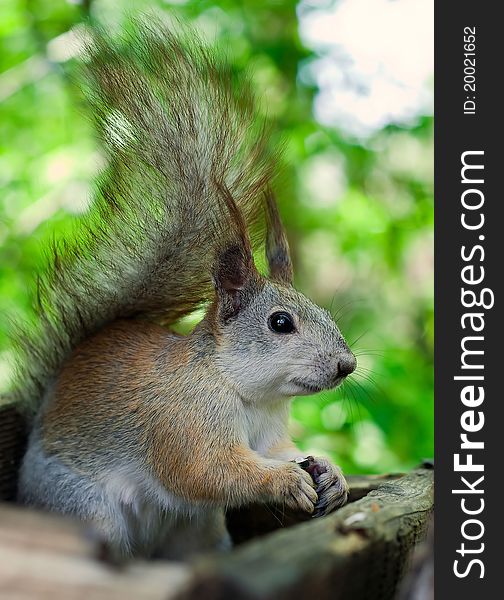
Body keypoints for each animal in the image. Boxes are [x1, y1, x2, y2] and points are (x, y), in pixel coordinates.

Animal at [12, 18, 358, 560]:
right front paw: (286, 482)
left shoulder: (271, 437)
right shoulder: (184, 423)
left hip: (198, 533)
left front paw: (330, 472)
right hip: (83, 510)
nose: (348, 366)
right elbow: (207, 470)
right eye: (281, 323)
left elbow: (285, 452)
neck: (247, 392)